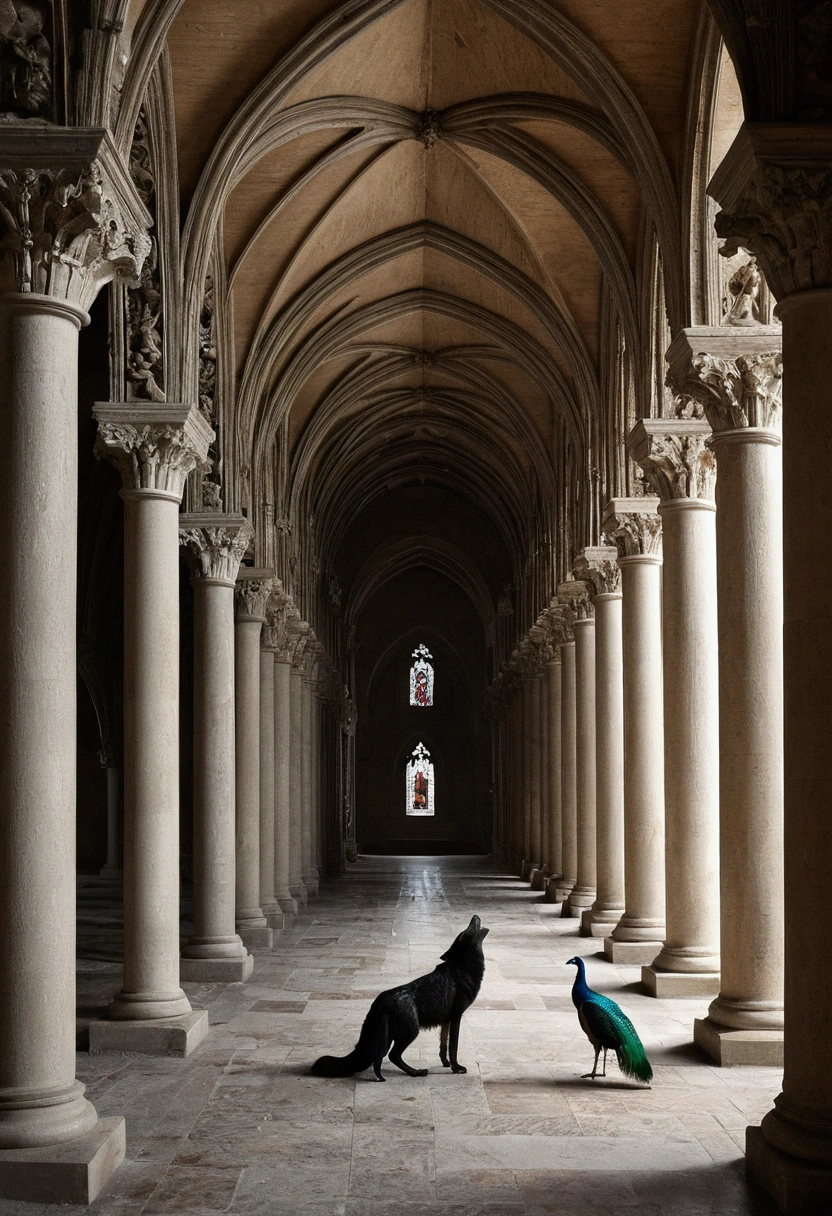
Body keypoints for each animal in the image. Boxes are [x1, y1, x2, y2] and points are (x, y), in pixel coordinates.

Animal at [310, 914, 486, 1079]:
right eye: (467, 930)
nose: (475, 916)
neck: (463, 968)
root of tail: (381, 999)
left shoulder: (446, 1020)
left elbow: (443, 1046)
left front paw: (445, 1063)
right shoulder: (457, 1016)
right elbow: (453, 1047)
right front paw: (456, 1068)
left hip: (389, 1037)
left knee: (381, 1056)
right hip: (411, 1032)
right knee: (393, 1056)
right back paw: (416, 1072)